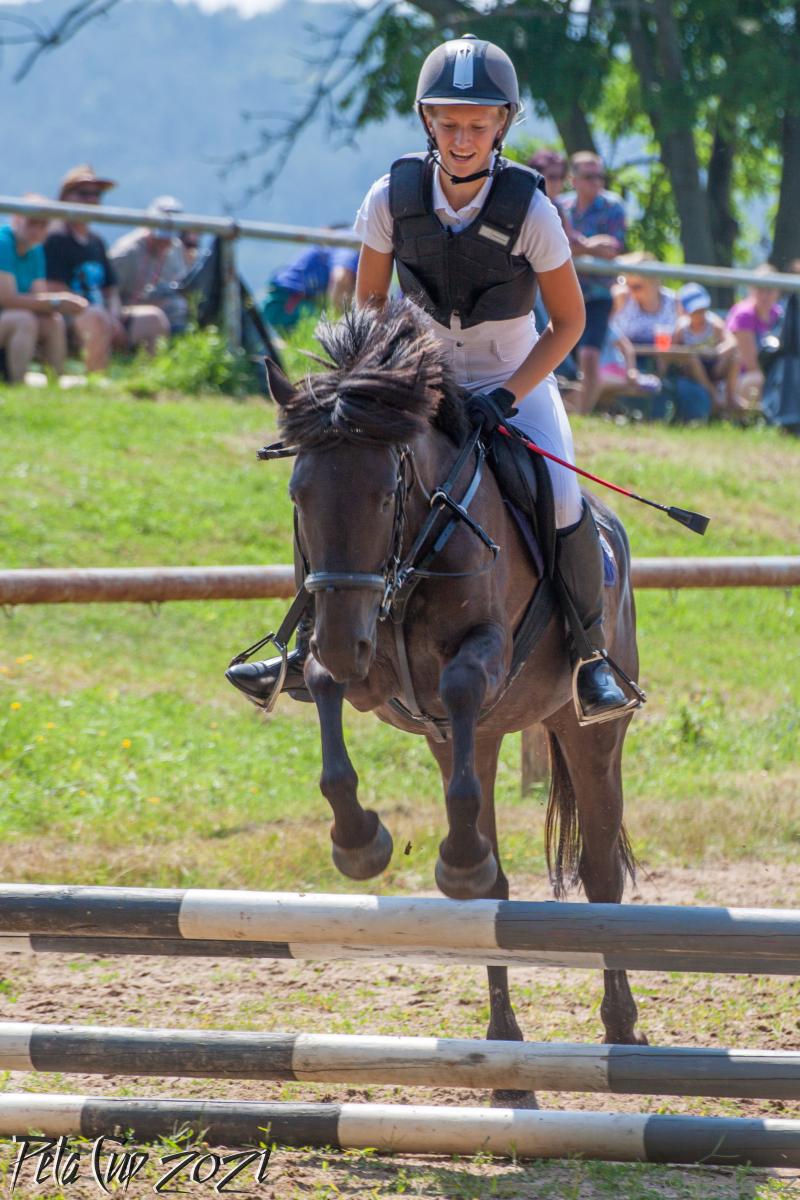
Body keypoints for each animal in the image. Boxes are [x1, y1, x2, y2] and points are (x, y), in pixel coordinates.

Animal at [265, 299, 645, 1101]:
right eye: (298, 496)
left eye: (384, 493)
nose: (345, 642)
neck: (410, 551)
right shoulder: (357, 652)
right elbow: (323, 688)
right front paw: (359, 841)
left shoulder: (484, 653)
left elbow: (462, 681)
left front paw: (445, 856)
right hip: (468, 738)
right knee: (489, 880)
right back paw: (505, 1060)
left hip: (588, 731)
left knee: (600, 873)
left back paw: (622, 1033)